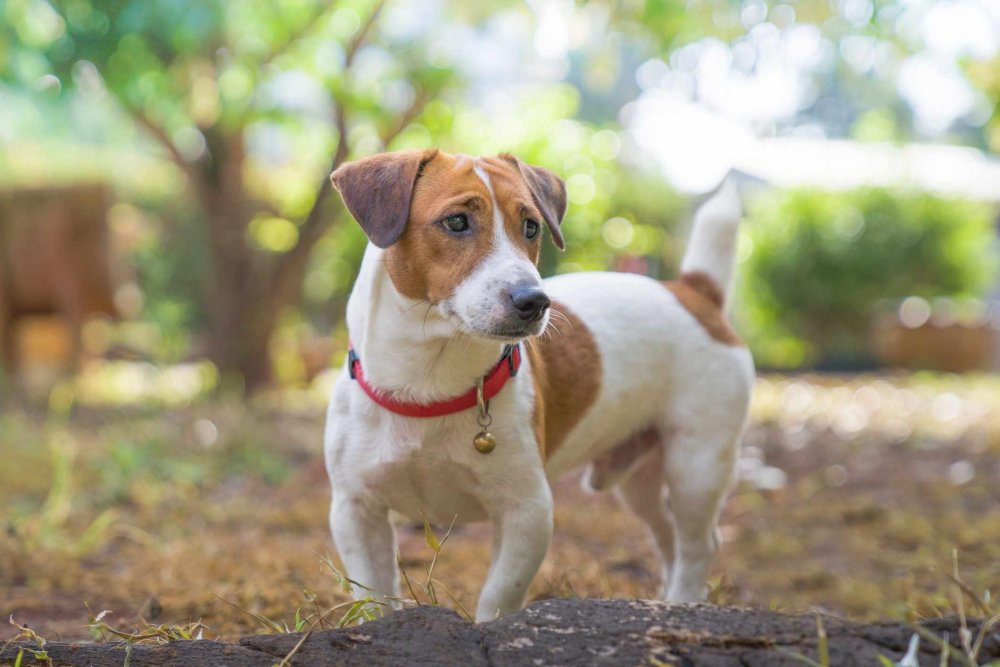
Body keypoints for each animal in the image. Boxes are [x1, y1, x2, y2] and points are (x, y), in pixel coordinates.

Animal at [324, 149, 752, 624]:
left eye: (531, 227)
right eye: (456, 222)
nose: (535, 301)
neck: (428, 386)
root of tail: (693, 292)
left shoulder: (527, 512)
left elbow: (498, 596)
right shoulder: (357, 512)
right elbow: (374, 596)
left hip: (697, 465)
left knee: (698, 543)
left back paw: (684, 602)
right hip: (639, 480)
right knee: (668, 537)